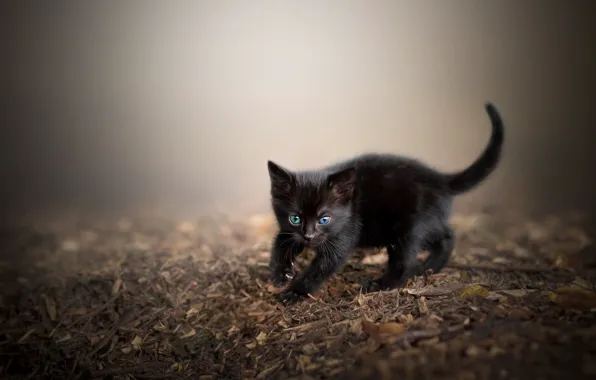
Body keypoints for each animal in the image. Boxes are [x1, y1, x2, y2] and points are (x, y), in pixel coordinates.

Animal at [268, 103, 506, 306]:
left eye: (324, 219)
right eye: (295, 218)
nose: (308, 236)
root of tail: (440, 179)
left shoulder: (346, 232)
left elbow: (321, 267)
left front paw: (295, 291)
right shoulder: (288, 229)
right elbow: (280, 243)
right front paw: (279, 273)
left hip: (409, 227)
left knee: (406, 262)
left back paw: (382, 283)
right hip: (420, 224)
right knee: (446, 235)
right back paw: (430, 268)